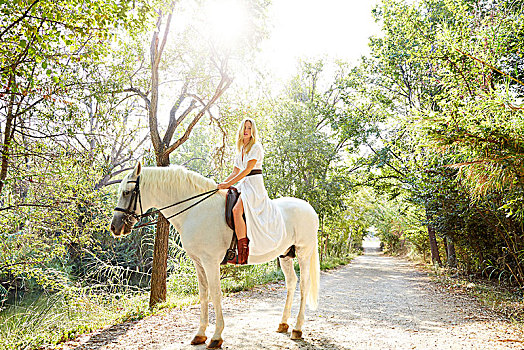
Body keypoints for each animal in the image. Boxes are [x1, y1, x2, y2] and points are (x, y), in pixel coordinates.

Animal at [109, 163, 320, 348]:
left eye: (126, 192)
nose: (114, 227)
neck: (195, 210)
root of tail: (309, 208)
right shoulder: (199, 263)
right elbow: (204, 294)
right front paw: (200, 334)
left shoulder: (211, 262)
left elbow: (216, 294)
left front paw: (217, 336)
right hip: (285, 255)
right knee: (292, 282)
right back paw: (283, 324)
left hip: (303, 252)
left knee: (303, 285)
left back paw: (297, 329)